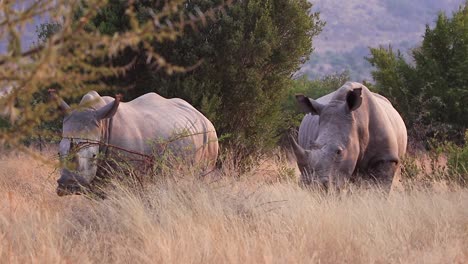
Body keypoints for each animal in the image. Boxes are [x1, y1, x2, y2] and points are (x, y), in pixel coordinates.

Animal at [52, 91, 220, 196]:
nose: (68, 186)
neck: (102, 125)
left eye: (94, 156)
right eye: (59, 153)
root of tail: (202, 116)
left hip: (210, 136)